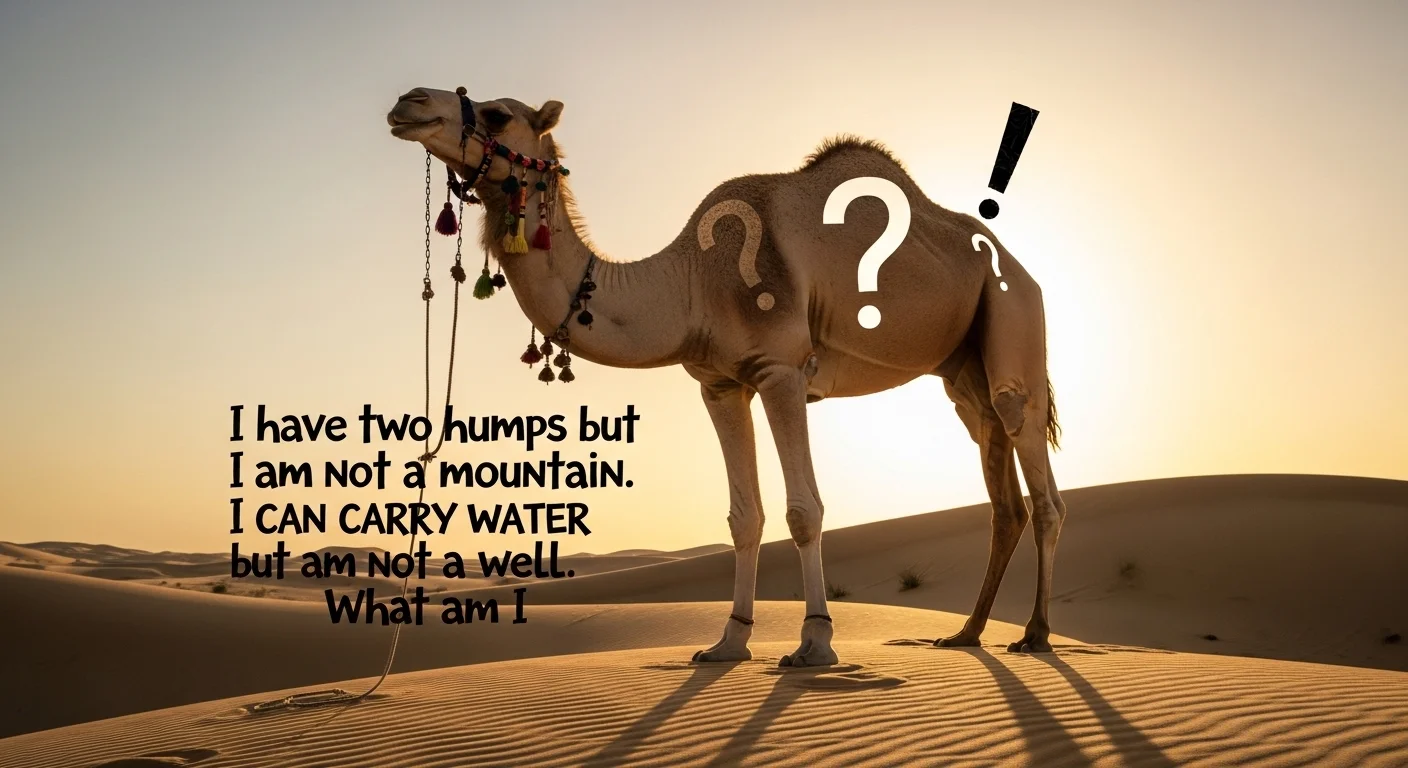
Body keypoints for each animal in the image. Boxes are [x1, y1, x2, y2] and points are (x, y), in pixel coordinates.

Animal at [387, 88, 1066, 666]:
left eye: (498, 113)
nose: (407, 103)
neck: (692, 279)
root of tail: (1022, 267)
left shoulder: (781, 369)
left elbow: (804, 510)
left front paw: (815, 643)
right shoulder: (719, 383)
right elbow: (745, 517)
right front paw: (728, 643)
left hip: (1013, 312)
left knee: (1031, 456)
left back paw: (1034, 633)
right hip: (961, 370)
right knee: (999, 480)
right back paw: (967, 633)